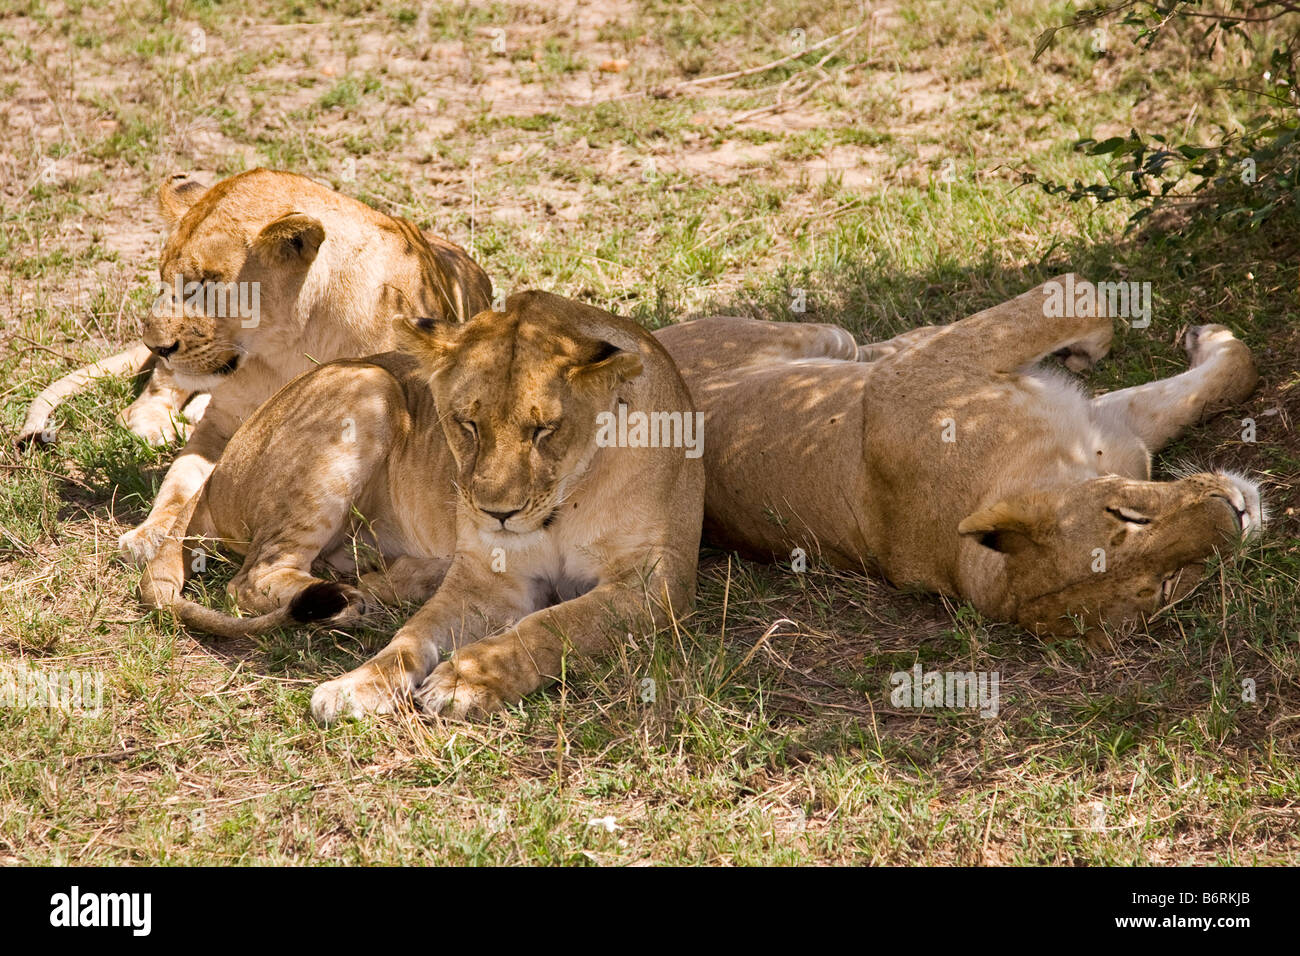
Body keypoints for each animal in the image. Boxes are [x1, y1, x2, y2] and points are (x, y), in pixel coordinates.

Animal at [15, 168, 492, 566]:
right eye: (165, 279)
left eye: (207, 285)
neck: (287, 344)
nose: (157, 344)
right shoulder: (222, 425)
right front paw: (151, 532)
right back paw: (157, 427)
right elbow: (179, 483)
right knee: (143, 402)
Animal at [139, 291, 705, 723]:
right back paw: (349, 601)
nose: (497, 514)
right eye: (465, 423)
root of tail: (214, 475)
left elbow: (553, 625)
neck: (564, 502)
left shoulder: (654, 586)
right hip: (370, 383)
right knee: (252, 577)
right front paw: (355, 685)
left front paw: (465, 681)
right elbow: (411, 637)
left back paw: (394, 583)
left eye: (544, 429)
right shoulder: (487, 581)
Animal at [655, 274, 1263, 643]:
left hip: (834, 341)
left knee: (877, 346)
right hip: (817, 332)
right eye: (1167, 583)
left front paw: (1207, 340)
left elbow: (1231, 376)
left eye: (1127, 514)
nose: (1237, 514)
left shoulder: (1115, 433)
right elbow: (1081, 295)